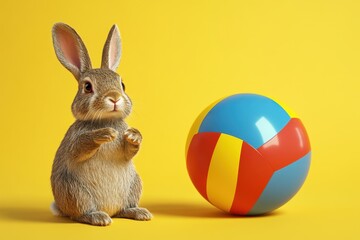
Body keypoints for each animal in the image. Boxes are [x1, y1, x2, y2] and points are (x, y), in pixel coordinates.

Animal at [50, 22, 151, 225]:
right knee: (79, 214)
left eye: (122, 85)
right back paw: (99, 217)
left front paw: (133, 136)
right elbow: (79, 148)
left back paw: (139, 212)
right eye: (87, 87)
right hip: (74, 191)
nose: (114, 98)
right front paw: (104, 134)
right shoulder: (74, 141)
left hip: (134, 184)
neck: (106, 119)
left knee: (124, 209)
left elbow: (130, 151)